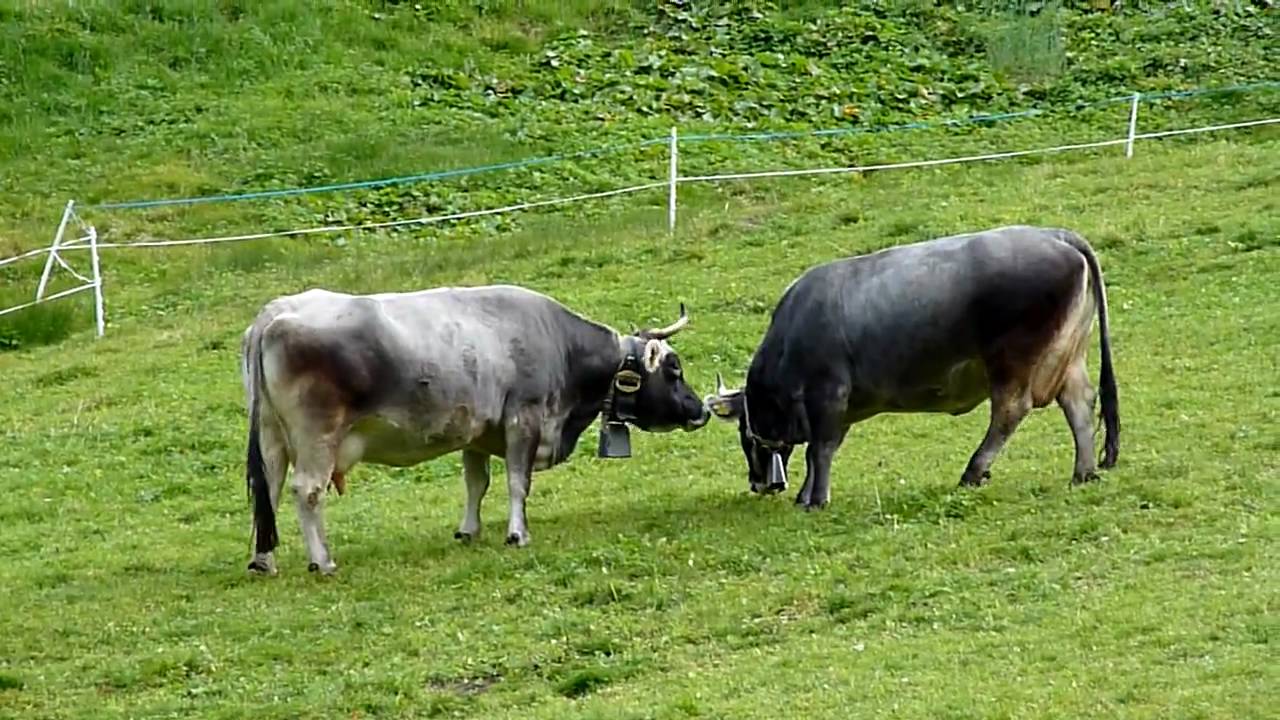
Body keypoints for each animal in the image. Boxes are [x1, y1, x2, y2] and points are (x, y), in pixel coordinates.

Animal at [240, 284, 711, 575]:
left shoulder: (480, 430)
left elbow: (476, 483)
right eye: (674, 369)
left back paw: (264, 560)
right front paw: (517, 533)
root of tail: (275, 313)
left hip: (271, 436)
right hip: (317, 437)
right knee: (306, 491)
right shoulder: (524, 419)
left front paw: (469, 530)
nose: (701, 409)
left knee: (270, 491)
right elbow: (517, 482)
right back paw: (322, 560)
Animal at [704, 225, 1119, 508]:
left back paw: (973, 471)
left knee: (1010, 412)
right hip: (1070, 357)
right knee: (1079, 404)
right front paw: (807, 493)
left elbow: (818, 450)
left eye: (745, 433)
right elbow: (827, 448)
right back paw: (1083, 472)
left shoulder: (828, 393)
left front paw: (816, 499)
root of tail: (1055, 234)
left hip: (1011, 362)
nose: (760, 482)